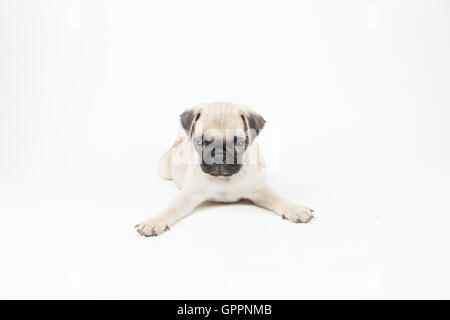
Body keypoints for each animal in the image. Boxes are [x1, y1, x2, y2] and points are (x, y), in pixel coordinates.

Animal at [135, 101, 314, 236]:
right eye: (201, 143)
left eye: (239, 143)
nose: (219, 154)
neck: (224, 180)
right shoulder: (188, 195)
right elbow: (171, 208)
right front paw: (154, 221)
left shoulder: (260, 190)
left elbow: (278, 199)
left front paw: (295, 209)